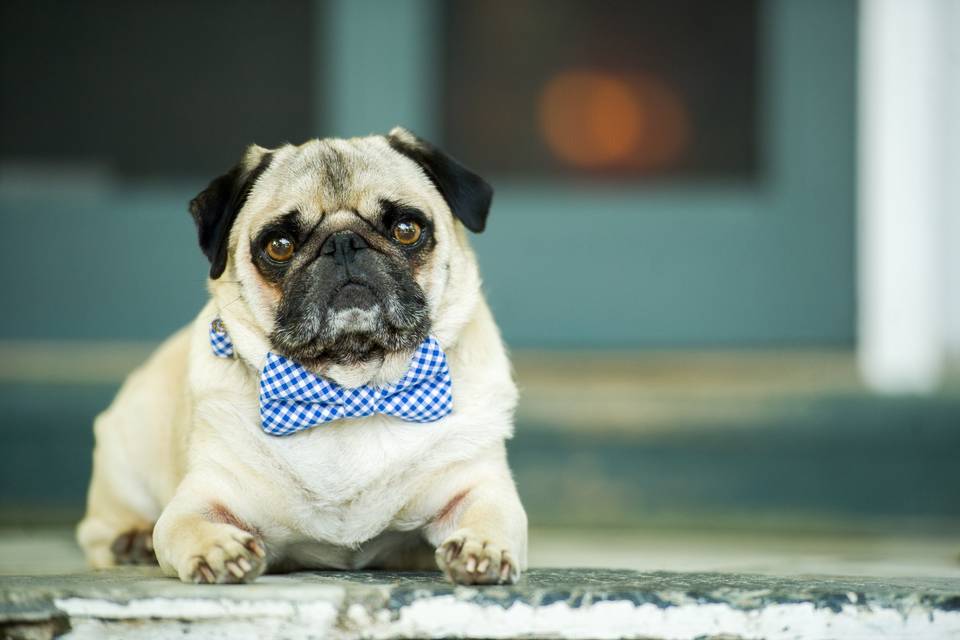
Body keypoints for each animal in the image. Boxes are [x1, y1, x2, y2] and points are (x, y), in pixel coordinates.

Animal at [76, 129, 528, 584]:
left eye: (406, 229)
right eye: (279, 246)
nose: (344, 243)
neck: (351, 386)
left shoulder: (478, 484)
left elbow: (494, 514)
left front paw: (481, 548)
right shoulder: (202, 496)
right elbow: (183, 525)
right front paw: (218, 549)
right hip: (125, 457)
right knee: (98, 532)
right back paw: (132, 542)